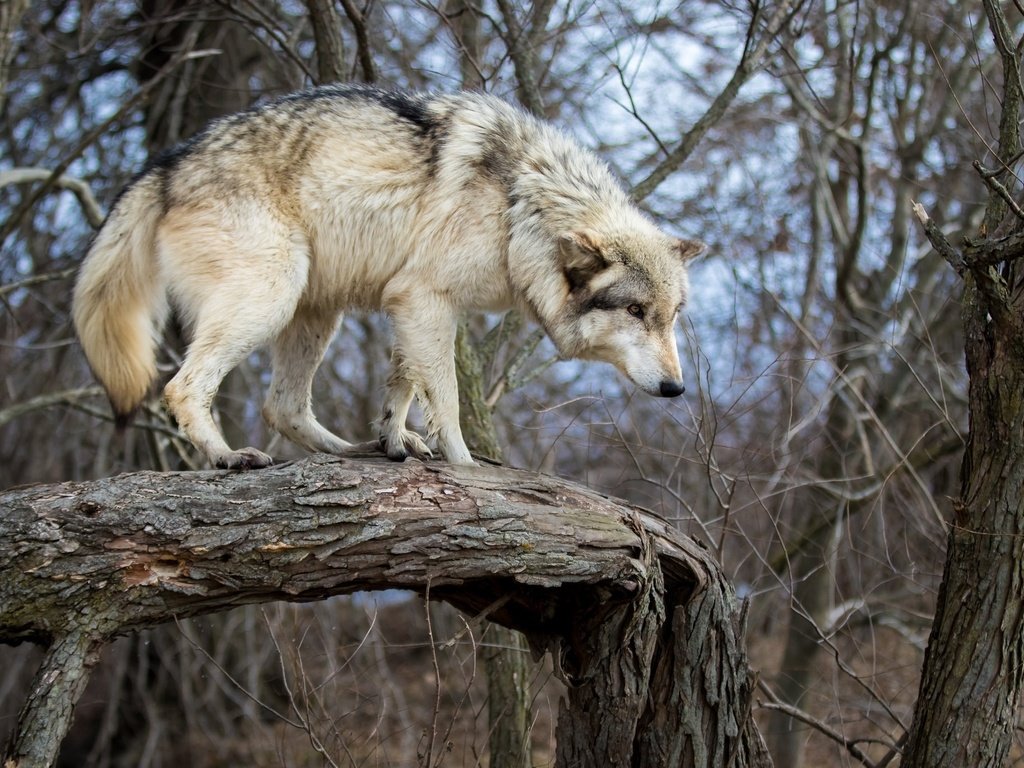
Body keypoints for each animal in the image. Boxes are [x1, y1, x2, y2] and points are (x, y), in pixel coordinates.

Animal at [74, 83, 704, 468]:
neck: (521, 203)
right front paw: (466, 467)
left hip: (314, 312)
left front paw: (394, 439)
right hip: (270, 297)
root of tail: (165, 165)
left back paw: (349, 450)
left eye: (671, 317)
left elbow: (401, 384)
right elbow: (445, 400)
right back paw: (229, 457)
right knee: (182, 388)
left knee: (283, 407)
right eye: (635, 311)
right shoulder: (427, 300)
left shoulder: (410, 304)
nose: (676, 389)